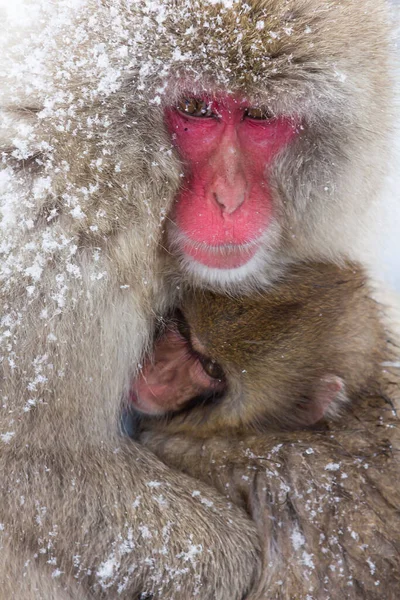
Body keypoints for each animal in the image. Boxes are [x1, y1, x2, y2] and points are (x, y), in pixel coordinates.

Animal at [0, 1, 396, 600]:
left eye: (258, 116)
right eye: (195, 109)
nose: (229, 200)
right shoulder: (43, 258)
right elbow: (31, 470)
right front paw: (236, 560)